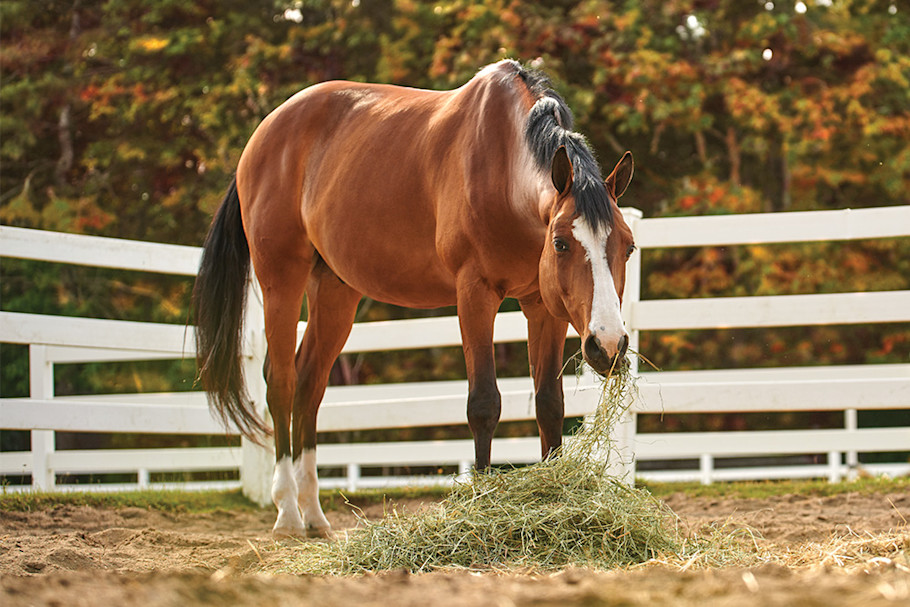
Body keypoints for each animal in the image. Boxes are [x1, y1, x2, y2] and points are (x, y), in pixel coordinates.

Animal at [193, 60, 635, 538]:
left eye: (629, 247)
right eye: (560, 244)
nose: (608, 344)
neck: (501, 166)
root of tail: (263, 135)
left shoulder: (543, 305)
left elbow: (550, 405)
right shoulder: (474, 293)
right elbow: (484, 402)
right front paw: (480, 504)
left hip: (334, 290)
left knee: (310, 384)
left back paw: (314, 514)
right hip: (281, 279)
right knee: (282, 383)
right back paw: (288, 512)